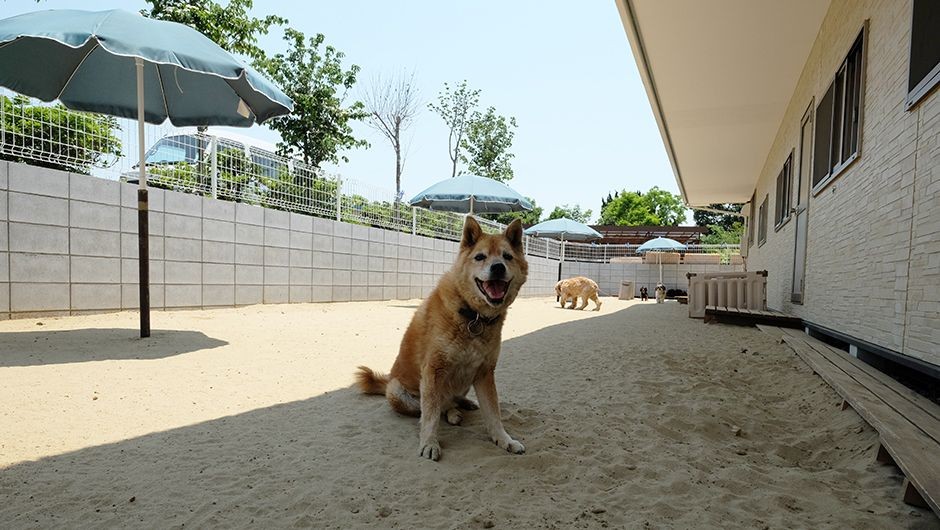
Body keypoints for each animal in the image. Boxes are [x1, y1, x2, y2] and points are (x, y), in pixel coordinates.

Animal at [356, 217, 528, 460]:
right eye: (480, 257)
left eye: (507, 257)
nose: (497, 267)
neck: (473, 316)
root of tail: (388, 381)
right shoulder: (433, 371)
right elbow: (430, 415)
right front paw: (429, 442)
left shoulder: (485, 372)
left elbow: (493, 414)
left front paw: (504, 440)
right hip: (400, 393)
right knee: (436, 406)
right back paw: (453, 413)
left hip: (465, 380)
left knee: (451, 399)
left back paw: (464, 404)